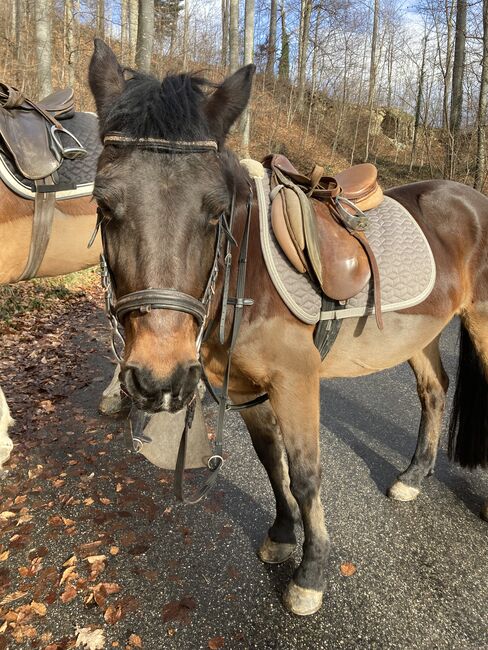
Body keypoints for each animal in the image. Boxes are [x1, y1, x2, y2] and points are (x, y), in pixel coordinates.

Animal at [87, 40, 488, 612]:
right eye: (102, 204)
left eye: (215, 210)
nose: (159, 379)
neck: (246, 274)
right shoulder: (243, 385)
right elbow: (270, 461)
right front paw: (281, 536)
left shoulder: (297, 380)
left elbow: (304, 473)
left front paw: (311, 572)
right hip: (420, 333)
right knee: (434, 391)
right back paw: (414, 476)